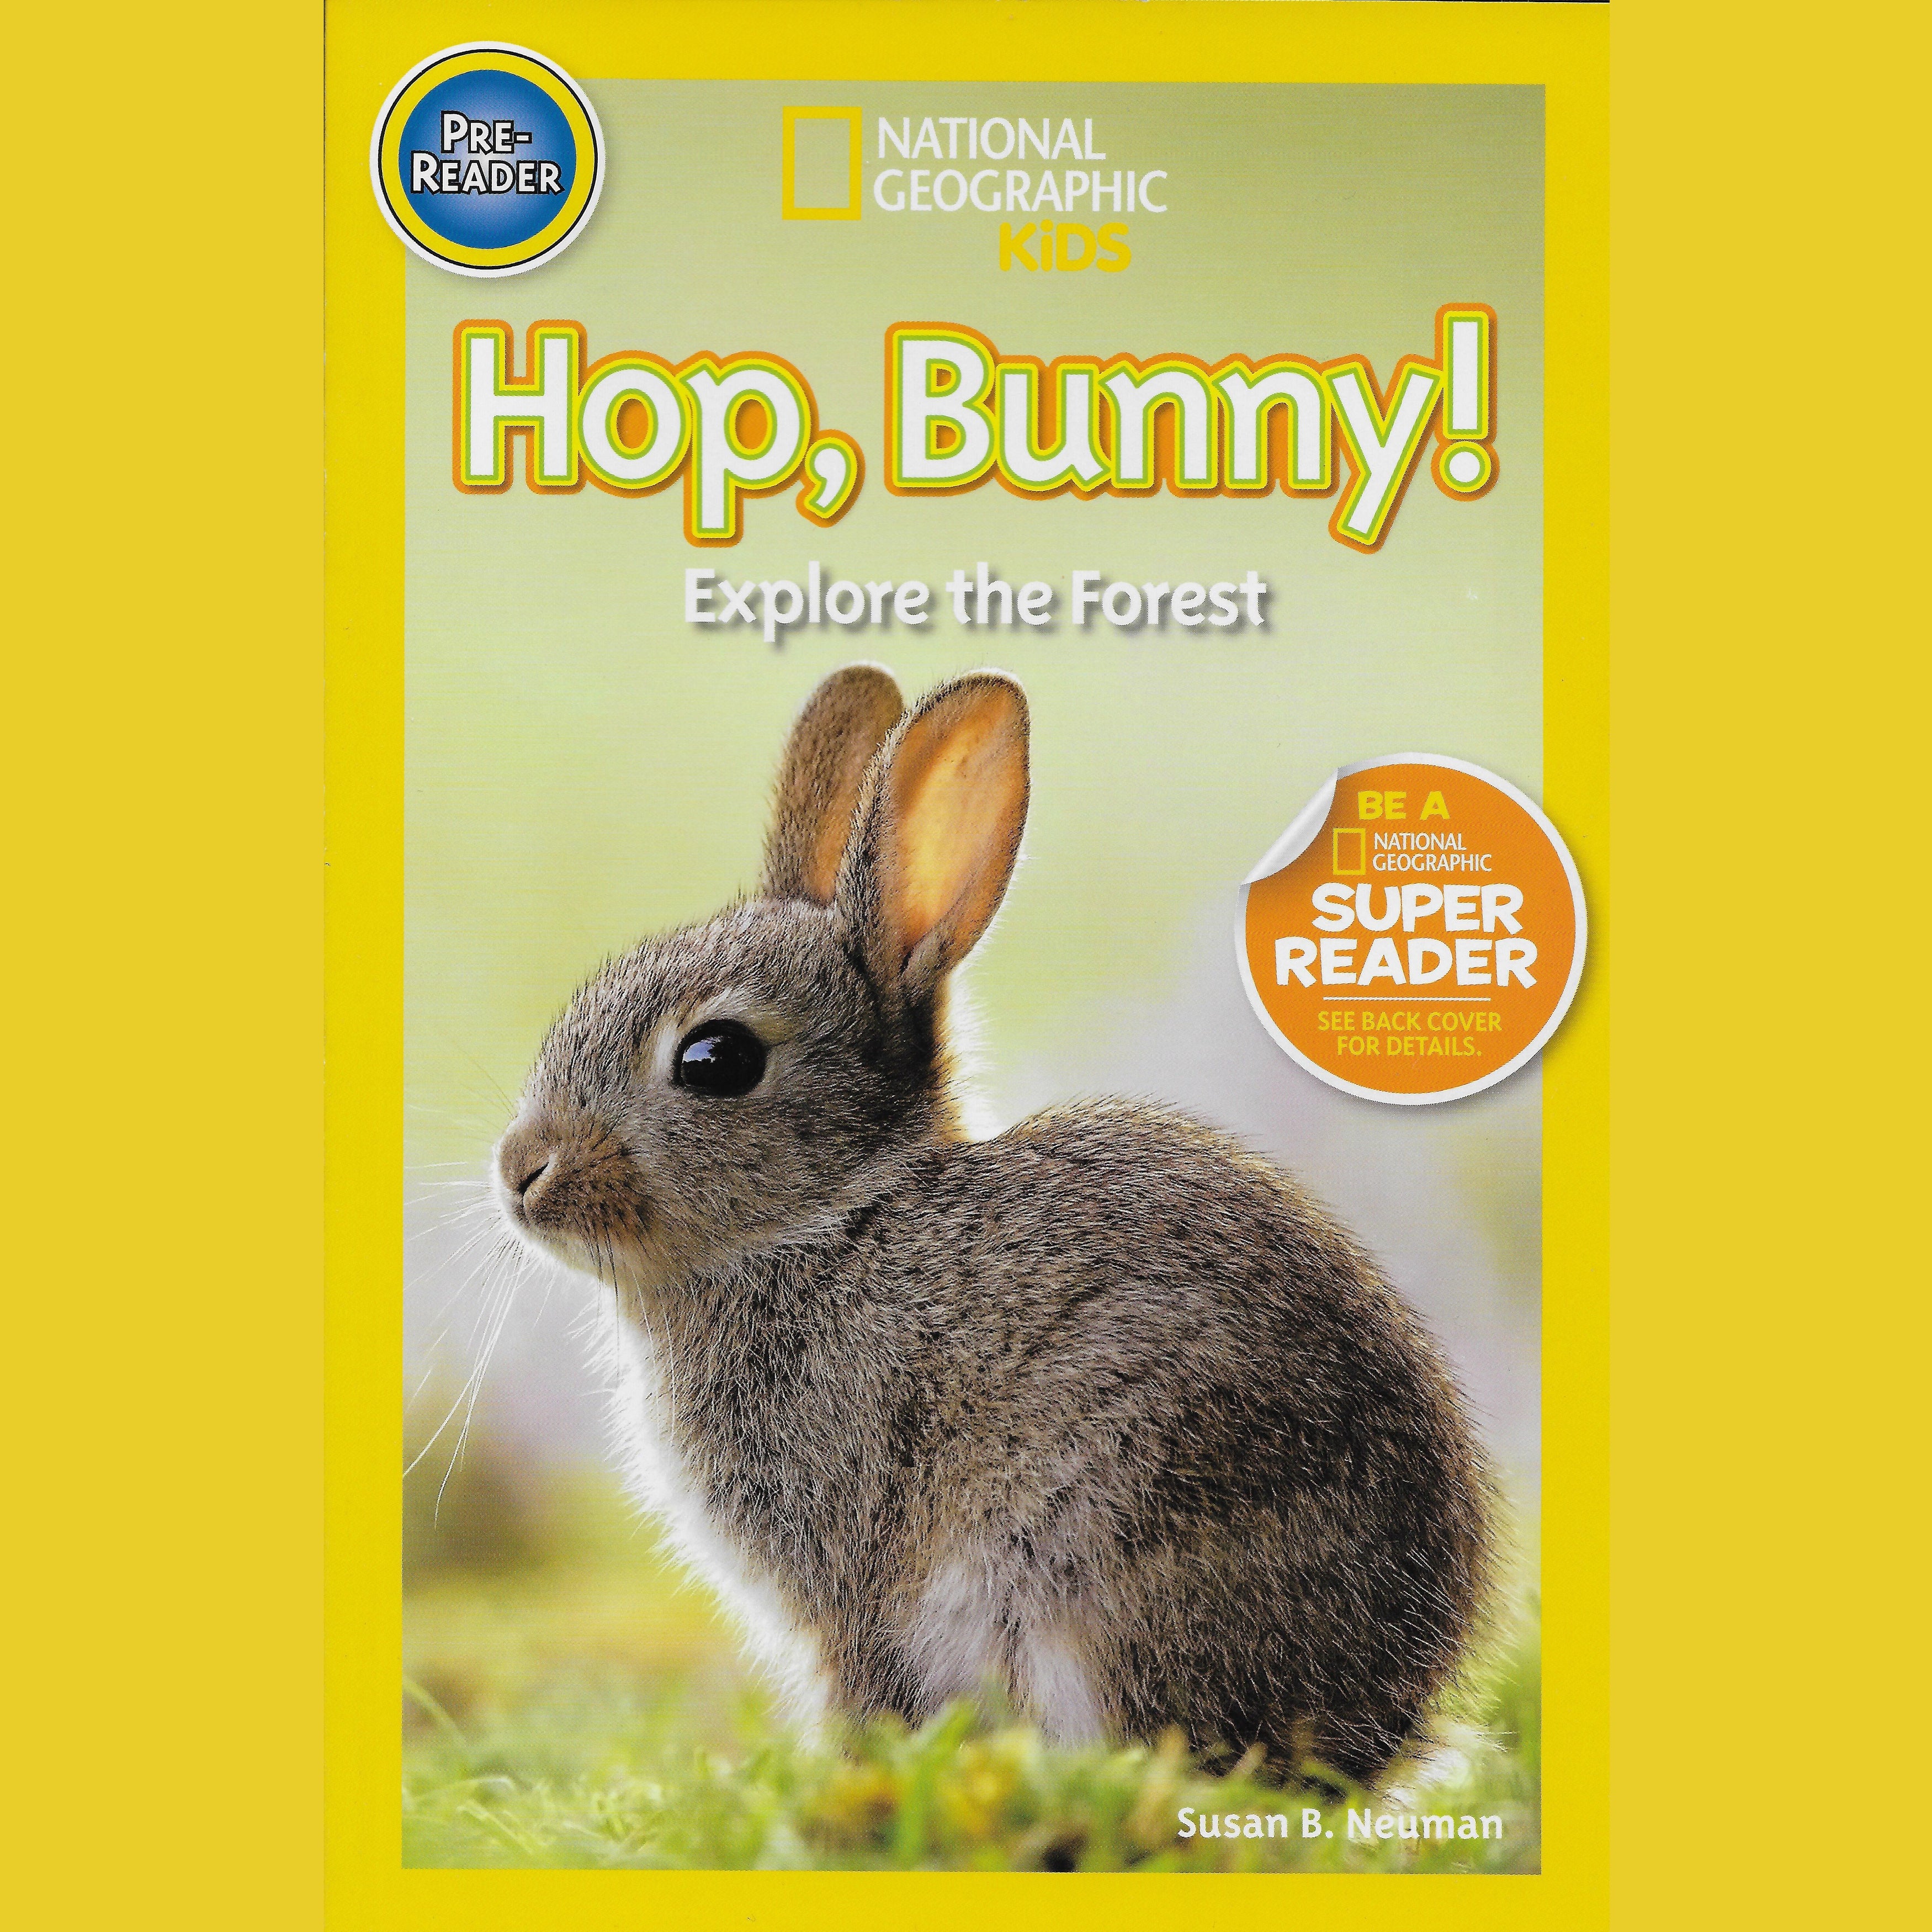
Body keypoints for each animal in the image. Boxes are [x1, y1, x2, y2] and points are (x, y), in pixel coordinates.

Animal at [494, 662, 1495, 1786]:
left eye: (717, 1060)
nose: (520, 1171)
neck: (828, 1218)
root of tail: (1376, 1729)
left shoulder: (851, 1574)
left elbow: (860, 1683)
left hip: (1093, 1553)